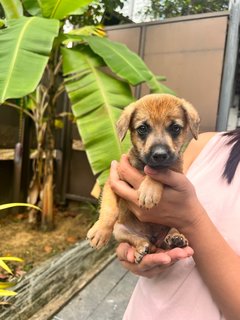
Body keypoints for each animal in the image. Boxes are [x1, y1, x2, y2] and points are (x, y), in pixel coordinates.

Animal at [87, 94, 200, 264]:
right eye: (142, 128)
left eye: (175, 128)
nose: (159, 155)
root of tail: (153, 239)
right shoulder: (113, 181)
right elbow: (109, 209)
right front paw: (100, 231)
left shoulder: (174, 170)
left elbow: (160, 171)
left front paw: (149, 190)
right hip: (120, 230)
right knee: (137, 239)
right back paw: (141, 248)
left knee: (172, 231)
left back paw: (176, 238)